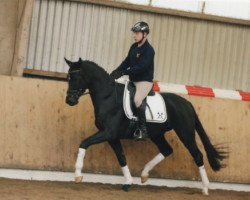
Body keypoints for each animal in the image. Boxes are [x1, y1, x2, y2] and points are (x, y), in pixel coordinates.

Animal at [64, 57, 227, 195]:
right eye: (68, 78)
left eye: (77, 78)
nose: (70, 101)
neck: (108, 97)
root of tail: (187, 104)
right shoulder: (112, 136)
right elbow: (121, 157)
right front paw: (128, 182)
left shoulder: (108, 133)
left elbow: (84, 143)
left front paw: (78, 175)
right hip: (157, 134)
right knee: (167, 150)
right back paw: (144, 174)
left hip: (185, 133)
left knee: (197, 155)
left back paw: (205, 188)